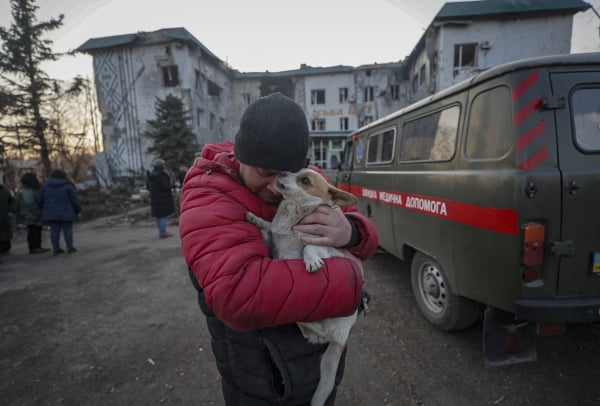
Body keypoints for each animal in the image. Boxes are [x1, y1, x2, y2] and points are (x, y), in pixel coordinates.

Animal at [246, 167, 364, 406]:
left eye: (305, 180)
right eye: (294, 171)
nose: (282, 171)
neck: (292, 212)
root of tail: (345, 337)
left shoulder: (325, 247)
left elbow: (309, 246)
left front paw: (310, 260)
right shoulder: (275, 245)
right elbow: (269, 231)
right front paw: (257, 220)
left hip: (336, 323)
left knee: (322, 333)